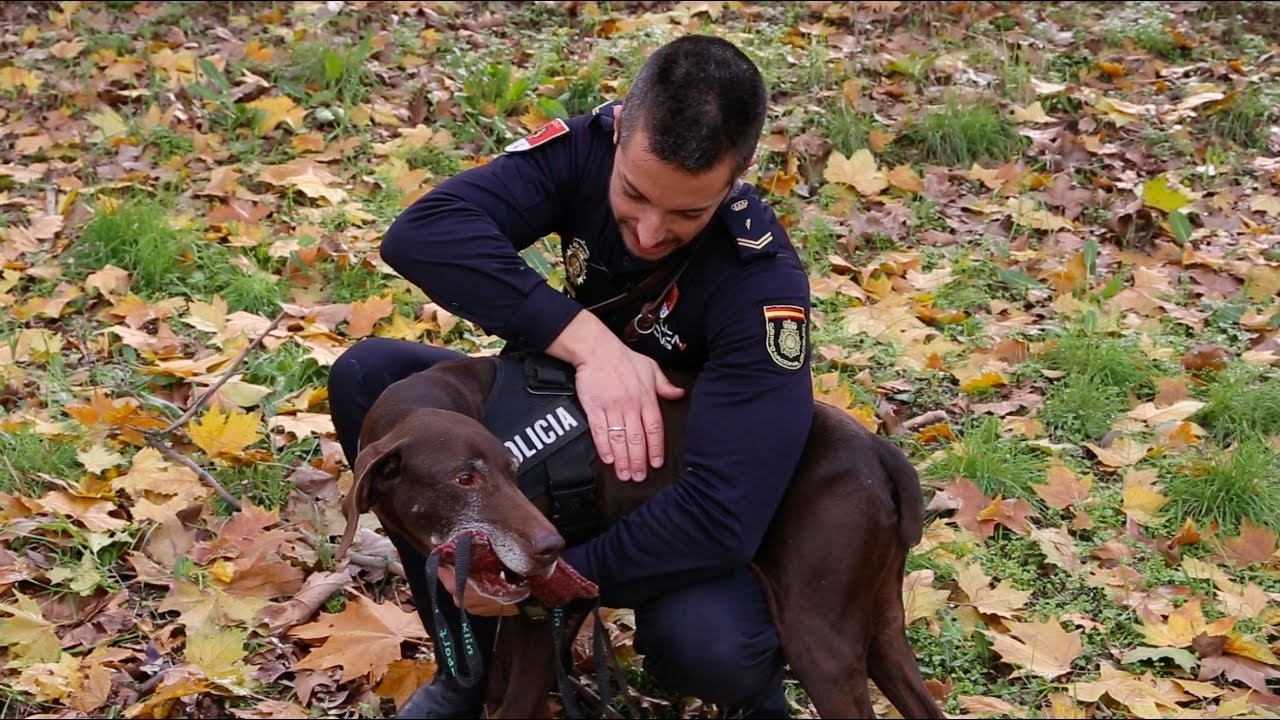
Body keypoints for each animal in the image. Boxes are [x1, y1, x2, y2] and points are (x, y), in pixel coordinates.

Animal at [335, 353, 947, 717]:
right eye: (465, 479)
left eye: (513, 472)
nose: (553, 549)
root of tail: (879, 450)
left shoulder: (544, 615)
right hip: (878, 625)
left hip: (817, 633)